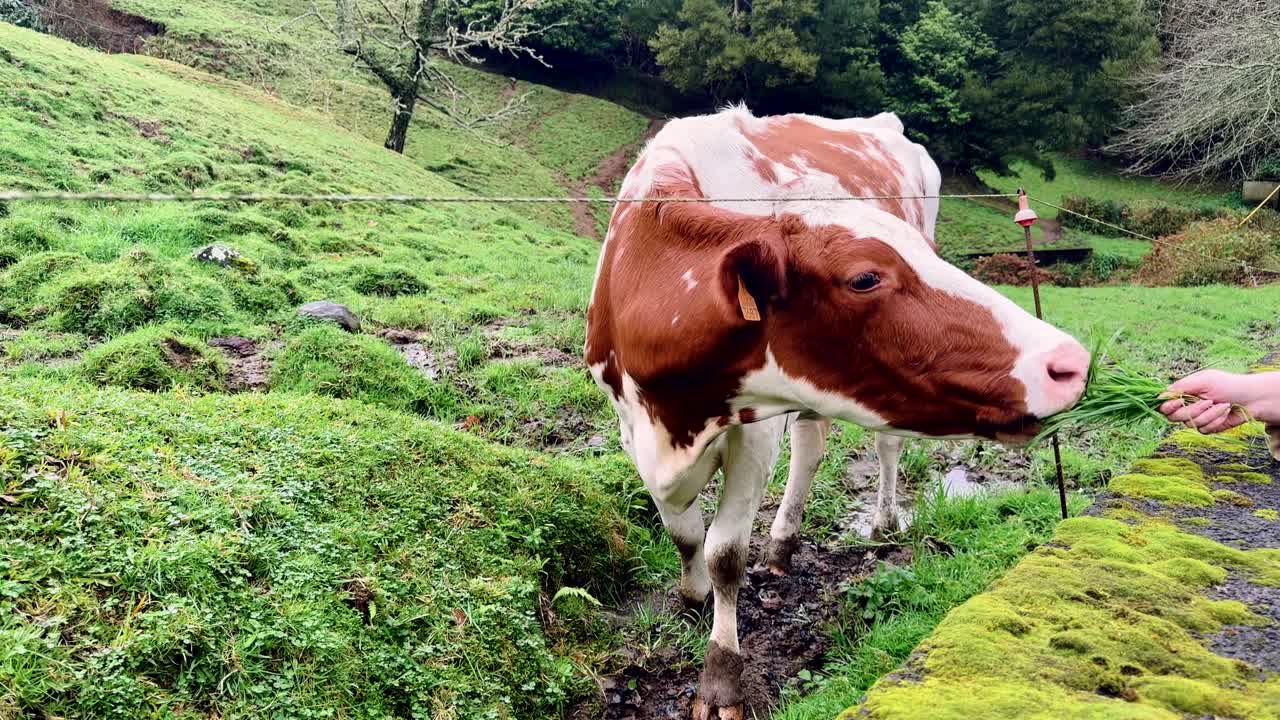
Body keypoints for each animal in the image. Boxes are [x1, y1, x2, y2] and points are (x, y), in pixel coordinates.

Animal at [584, 106, 1088, 719]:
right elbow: (682, 533)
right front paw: (691, 594)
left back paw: (883, 521)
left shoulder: (755, 431)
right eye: (865, 277)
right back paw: (782, 545)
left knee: (885, 445)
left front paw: (720, 679)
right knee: (811, 446)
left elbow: (725, 552)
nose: (1068, 362)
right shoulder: (630, 423)